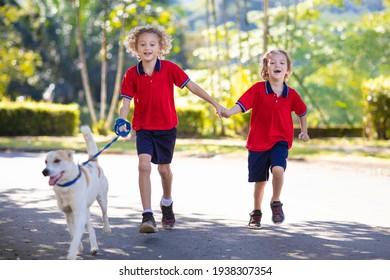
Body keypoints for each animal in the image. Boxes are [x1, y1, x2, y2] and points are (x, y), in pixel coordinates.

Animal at [42, 126, 110, 260]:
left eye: (57, 160)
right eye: (46, 162)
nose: (44, 171)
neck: (67, 186)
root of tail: (93, 162)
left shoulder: (79, 214)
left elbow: (76, 236)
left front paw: (72, 254)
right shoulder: (69, 215)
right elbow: (73, 234)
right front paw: (79, 247)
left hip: (102, 199)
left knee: (104, 214)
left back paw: (106, 229)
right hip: (86, 210)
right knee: (91, 229)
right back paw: (94, 247)